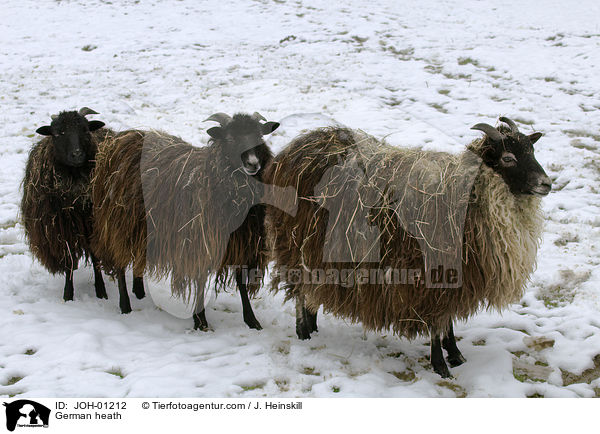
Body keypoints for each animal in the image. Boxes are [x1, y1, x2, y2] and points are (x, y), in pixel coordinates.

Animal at [20, 108, 115, 304]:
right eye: (58, 133)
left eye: (85, 130)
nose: (77, 154)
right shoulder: (62, 230)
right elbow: (68, 261)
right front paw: (68, 295)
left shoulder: (92, 224)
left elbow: (96, 258)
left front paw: (101, 292)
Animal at [91, 112, 282, 328]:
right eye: (230, 138)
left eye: (259, 136)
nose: (252, 164)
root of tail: (121, 139)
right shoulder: (198, 242)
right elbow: (200, 281)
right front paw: (200, 320)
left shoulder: (242, 243)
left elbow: (241, 282)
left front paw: (251, 320)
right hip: (119, 223)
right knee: (120, 264)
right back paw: (125, 306)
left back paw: (139, 292)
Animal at [264, 118, 552, 376]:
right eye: (507, 158)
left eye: (532, 151)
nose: (546, 184)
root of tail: (290, 152)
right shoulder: (433, 275)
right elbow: (437, 323)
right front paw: (441, 366)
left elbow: (447, 322)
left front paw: (455, 355)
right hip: (297, 244)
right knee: (300, 290)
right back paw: (303, 331)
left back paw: (312, 326)